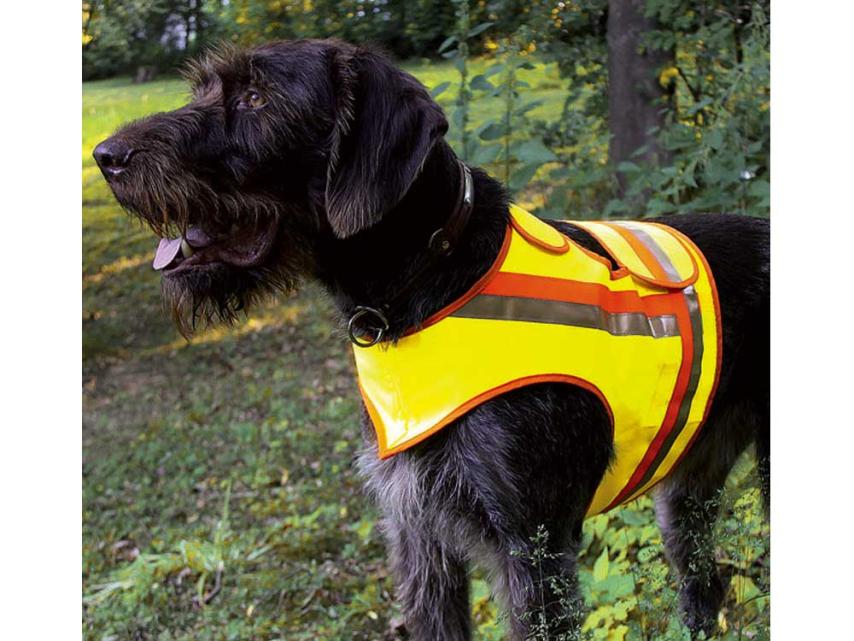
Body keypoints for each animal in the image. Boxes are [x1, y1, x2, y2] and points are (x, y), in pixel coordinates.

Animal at [95, 41, 776, 640]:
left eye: (257, 97)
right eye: (205, 89)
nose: (107, 155)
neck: (427, 285)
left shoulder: (533, 550)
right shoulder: (416, 532)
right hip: (685, 488)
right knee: (703, 584)